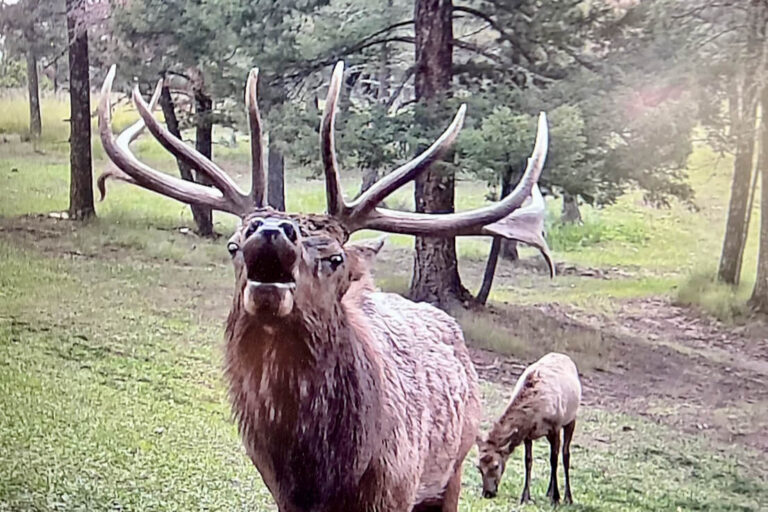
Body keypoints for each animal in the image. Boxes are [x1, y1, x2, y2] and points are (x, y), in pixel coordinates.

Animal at [96, 61, 553, 512]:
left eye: (334, 258)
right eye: (233, 246)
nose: (271, 230)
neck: (325, 472)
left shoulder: (397, 489)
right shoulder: (284, 496)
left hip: (452, 468)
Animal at [476, 352, 581, 505]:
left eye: (496, 465)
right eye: (479, 467)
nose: (487, 493)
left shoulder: (555, 427)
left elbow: (554, 460)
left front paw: (556, 498)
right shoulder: (527, 434)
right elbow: (528, 462)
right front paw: (525, 496)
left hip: (571, 419)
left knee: (565, 454)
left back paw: (567, 497)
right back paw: (548, 492)